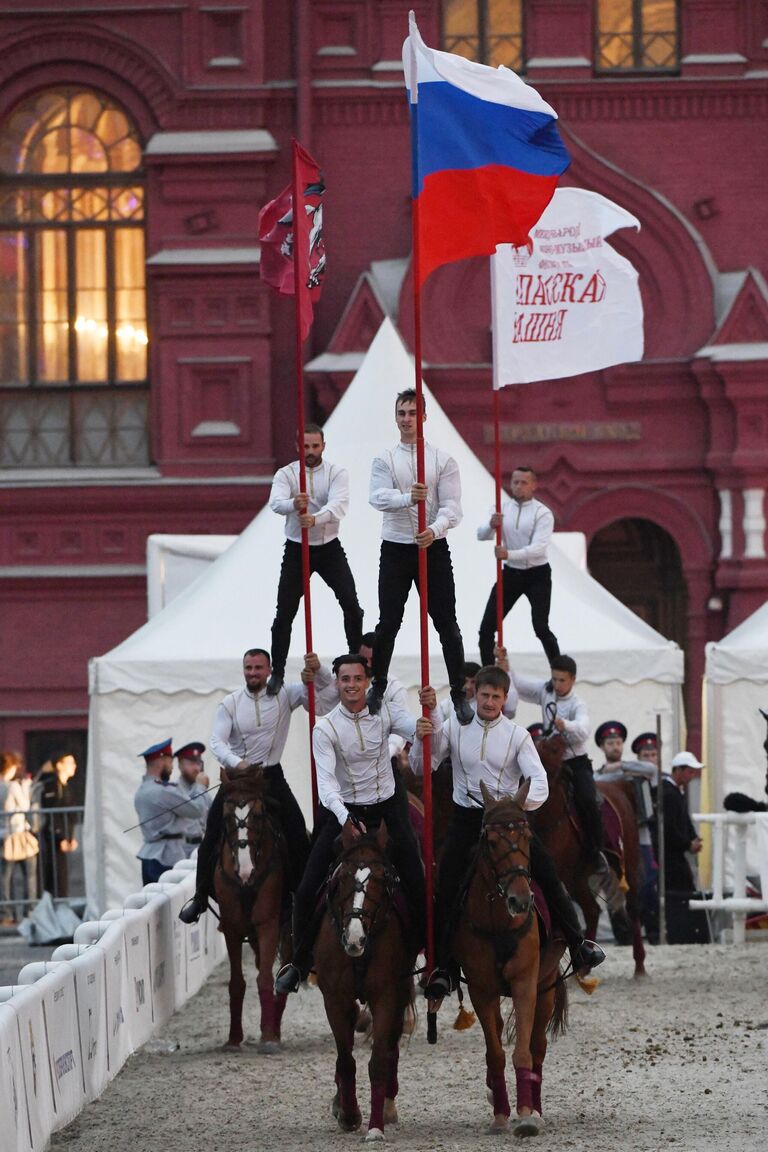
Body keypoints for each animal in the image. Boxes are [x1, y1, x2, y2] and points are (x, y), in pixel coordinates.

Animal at [215, 764, 290, 1055]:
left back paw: (274, 1028)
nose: (245, 870)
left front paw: (269, 1037)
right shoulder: (232, 928)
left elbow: (266, 978)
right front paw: (233, 1039)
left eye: (257, 813)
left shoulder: (268, 923)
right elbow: (237, 983)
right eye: (226, 815)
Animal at [313, 824, 416, 1138]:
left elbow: (379, 1060)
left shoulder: (387, 995)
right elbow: (345, 1059)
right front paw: (349, 1115)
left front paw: (375, 1126)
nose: (355, 938)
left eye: (382, 879)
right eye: (343, 877)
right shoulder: (335, 998)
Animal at [453, 778, 568, 1138]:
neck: (498, 922)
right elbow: (495, 1053)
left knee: (538, 1047)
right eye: (490, 842)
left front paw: (527, 1116)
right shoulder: (481, 989)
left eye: (527, 837)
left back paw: (537, 1109)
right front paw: (501, 1115)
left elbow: (523, 1052)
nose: (520, 900)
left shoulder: (525, 983)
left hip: (546, 987)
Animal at [534, 737, 649, 981]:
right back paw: (584, 968)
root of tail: (619, 786)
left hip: (628, 865)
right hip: (576, 879)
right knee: (592, 911)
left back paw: (639, 967)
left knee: (633, 907)